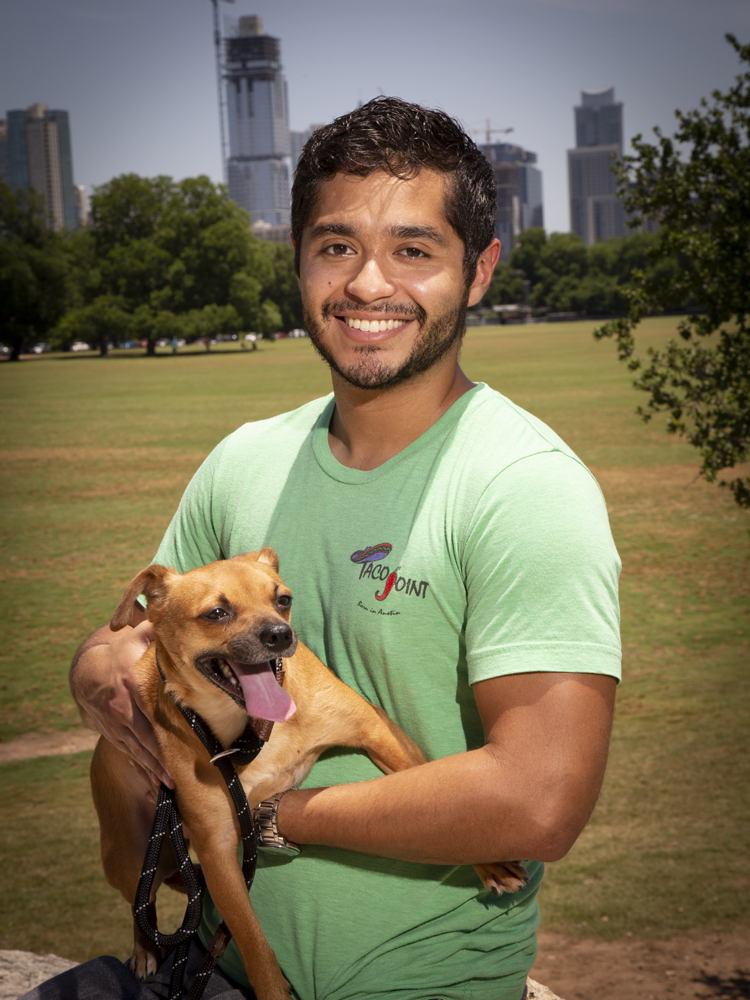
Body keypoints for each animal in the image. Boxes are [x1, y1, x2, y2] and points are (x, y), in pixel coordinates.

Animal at [91, 552, 528, 996]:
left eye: (282, 599)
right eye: (216, 613)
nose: (280, 634)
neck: (252, 730)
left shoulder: (377, 730)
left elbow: (436, 796)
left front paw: (491, 863)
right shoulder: (216, 848)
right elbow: (252, 942)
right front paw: (271, 989)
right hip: (129, 856)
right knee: (142, 899)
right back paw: (145, 950)